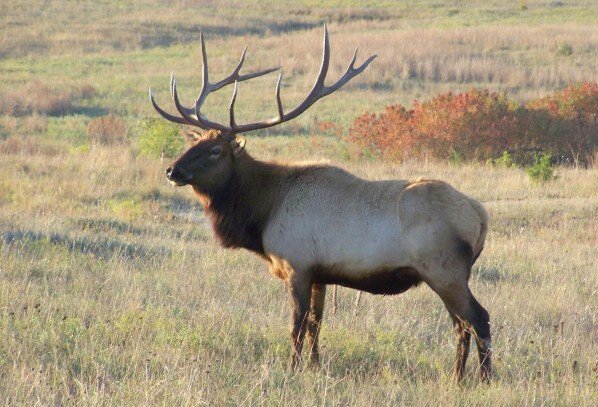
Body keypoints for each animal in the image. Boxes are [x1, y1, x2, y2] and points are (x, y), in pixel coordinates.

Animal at [149, 25, 492, 382]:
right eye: (196, 142)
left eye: (215, 150)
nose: (173, 170)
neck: (263, 211)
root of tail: (480, 215)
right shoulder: (320, 274)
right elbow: (316, 324)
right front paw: (314, 365)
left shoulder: (297, 265)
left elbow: (296, 326)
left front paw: (292, 368)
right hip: (445, 273)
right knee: (461, 326)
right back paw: (457, 377)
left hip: (444, 269)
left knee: (478, 319)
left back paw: (482, 379)